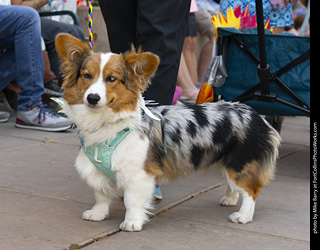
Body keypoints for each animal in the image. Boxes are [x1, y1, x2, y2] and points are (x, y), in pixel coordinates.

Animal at [56, 33, 282, 232]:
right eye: (87, 76)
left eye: (111, 79)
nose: (92, 98)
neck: (107, 123)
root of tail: (256, 115)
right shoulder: (98, 171)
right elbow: (101, 195)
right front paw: (98, 214)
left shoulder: (138, 175)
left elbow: (132, 201)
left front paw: (132, 222)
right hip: (223, 162)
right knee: (234, 186)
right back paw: (229, 199)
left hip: (240, 163)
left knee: (251, 191)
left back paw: (243, 216)